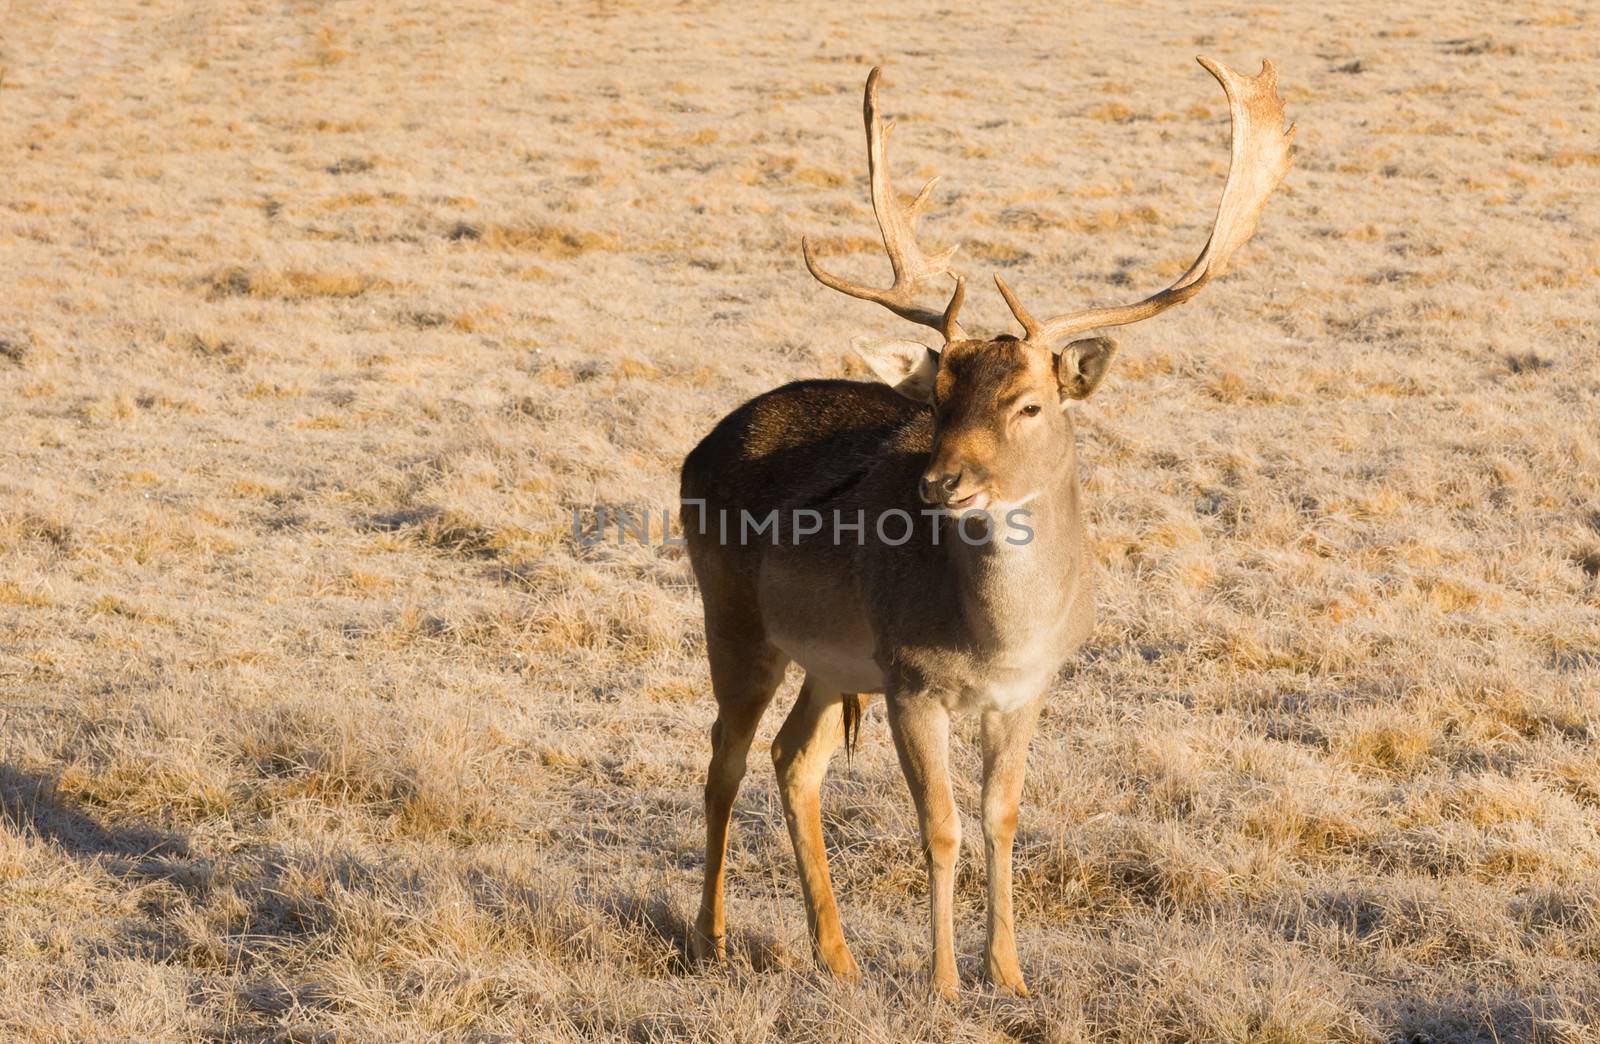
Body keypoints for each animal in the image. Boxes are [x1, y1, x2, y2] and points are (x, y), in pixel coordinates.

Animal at [681, 55, 1292, 992]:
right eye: (937, 399)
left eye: (1029, 403)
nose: (941, 482)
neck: (995, 639)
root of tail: (699, 447)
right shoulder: (909, 681)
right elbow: (940, 826)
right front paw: (942, 984)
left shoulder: (1028, 690)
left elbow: (1001, 817)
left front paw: (1008, 972)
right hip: (734, 617)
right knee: (724, 758)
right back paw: (710, 936)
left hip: (830, 662)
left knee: (794, 760)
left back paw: (837, 955)